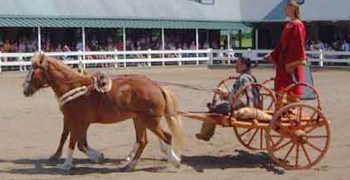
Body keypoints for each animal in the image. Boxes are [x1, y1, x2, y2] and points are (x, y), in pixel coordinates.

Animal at [22, 54, 183, 172]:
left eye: (33, 70)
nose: (25, 90)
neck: (74, 87)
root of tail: (156, 86)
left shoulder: (76, 121)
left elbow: (73, 142)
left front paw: (66, 165)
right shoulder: (79, 121)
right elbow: (78, 142)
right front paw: (97, 156)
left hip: (149, 121)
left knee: (165, 137)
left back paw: (173, 161)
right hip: (139, 120)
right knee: (142, 140)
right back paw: (130, 164)